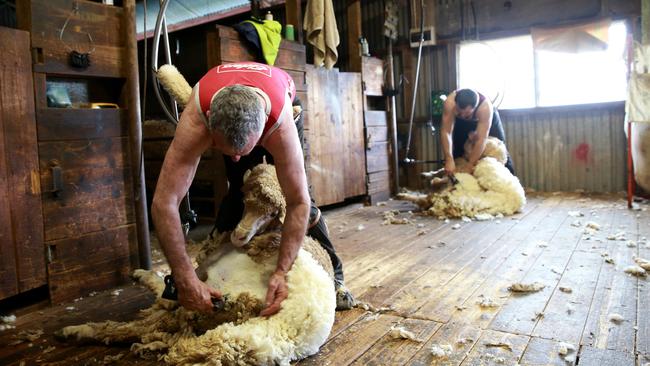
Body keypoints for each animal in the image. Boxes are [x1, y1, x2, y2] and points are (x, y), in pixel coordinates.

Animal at [57, 164, 334, 366]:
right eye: (245, 200)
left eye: (272, 212)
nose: (239, 236)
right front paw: (144, 275)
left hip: (216, 320)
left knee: (148, 328)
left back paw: (79, 330)